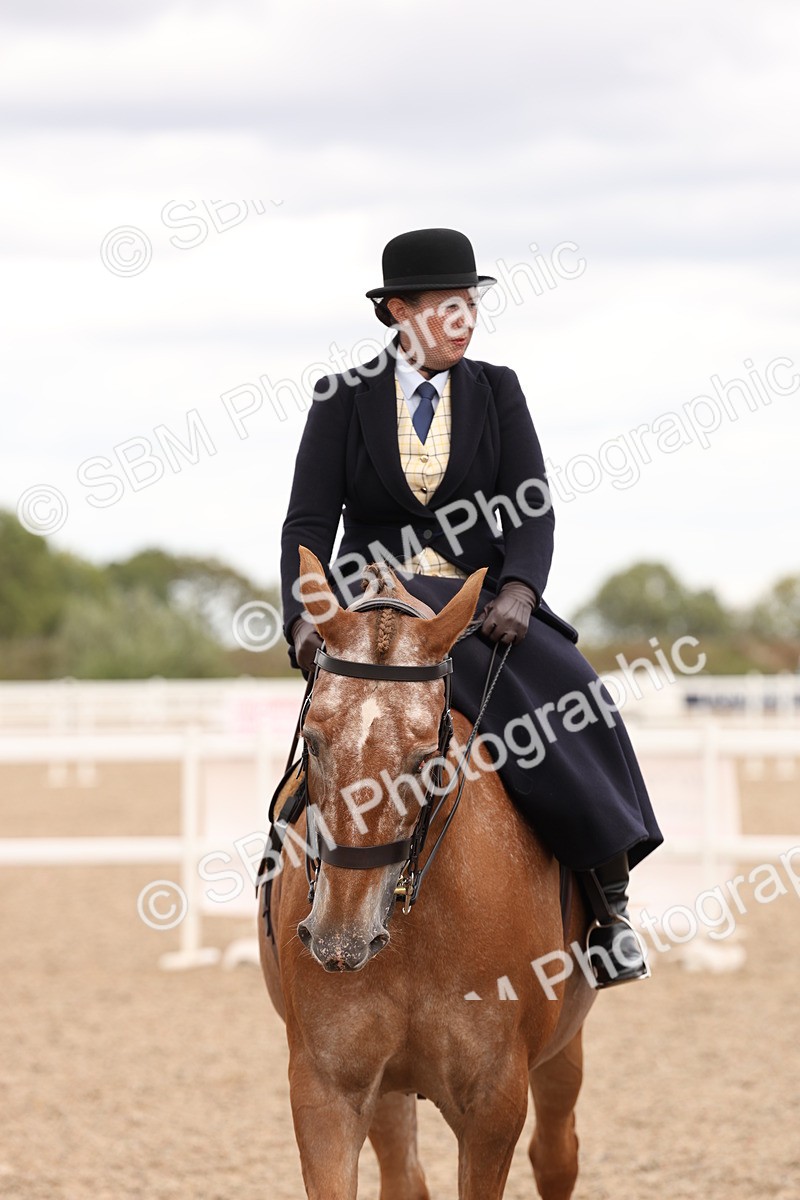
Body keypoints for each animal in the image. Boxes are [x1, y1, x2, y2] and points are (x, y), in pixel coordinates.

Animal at [259, 545, 596, 1200]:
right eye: (313, 740)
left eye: (423, 759)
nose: (340, 940)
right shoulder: (326, 1092)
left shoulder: (495, 1102)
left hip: (562, 1049)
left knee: (557, 1154)